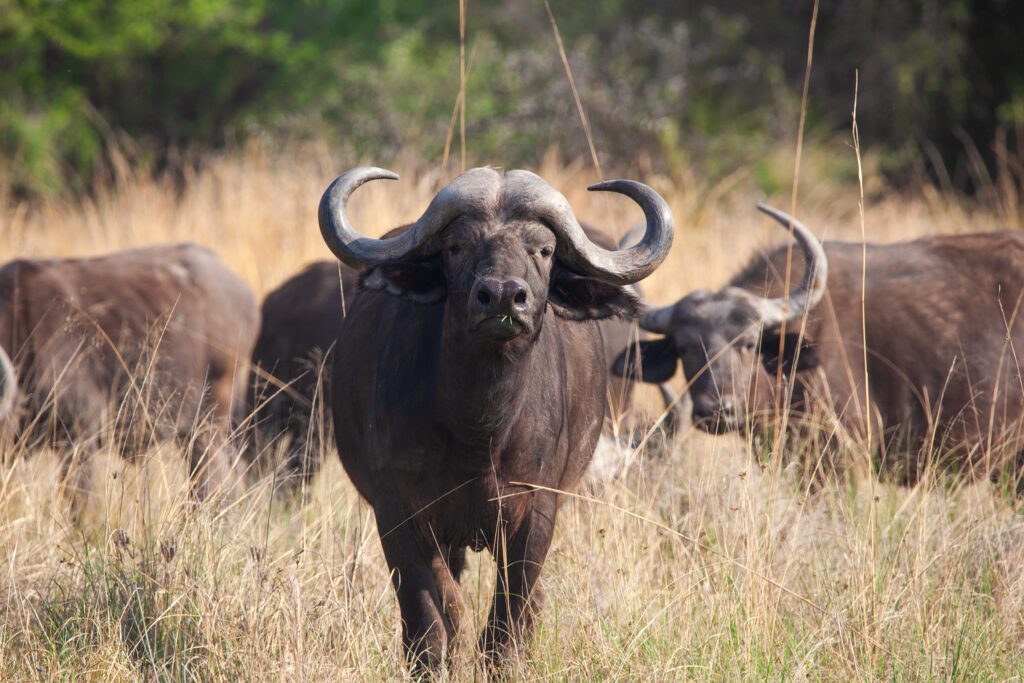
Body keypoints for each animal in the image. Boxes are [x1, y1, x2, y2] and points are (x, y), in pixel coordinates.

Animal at [318, 166, 673, 669]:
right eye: (456, 246)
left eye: (543, 250)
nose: (503, 297)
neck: (479, 429)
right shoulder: (397, 512)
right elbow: (430, 617)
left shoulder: (535, 514)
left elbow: (506, 622)